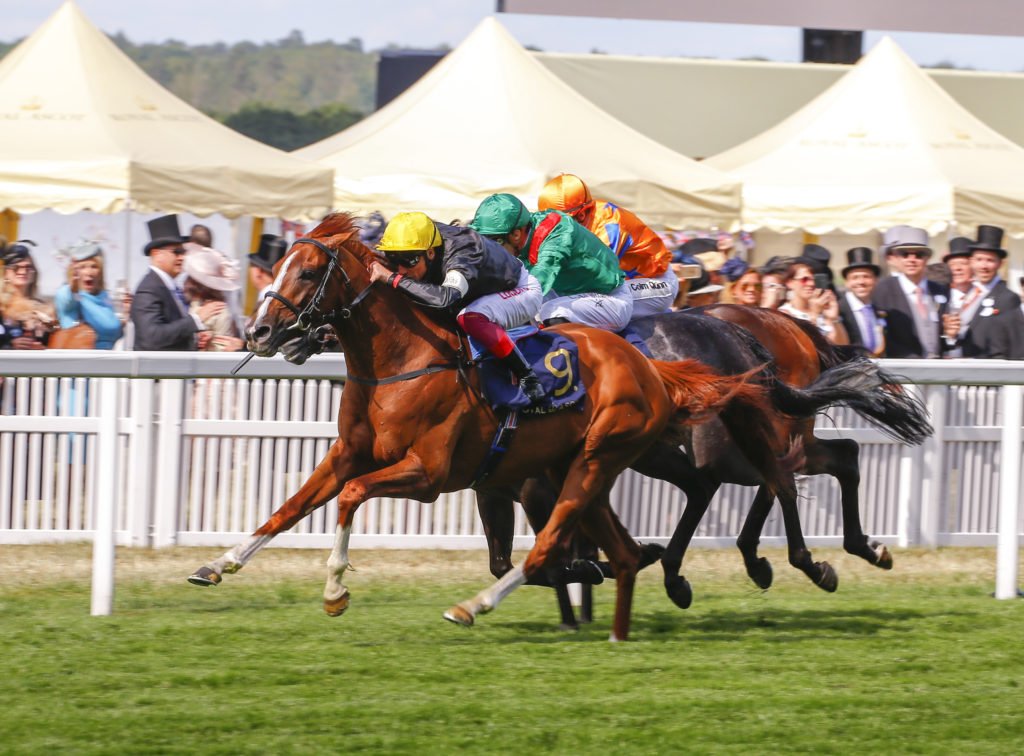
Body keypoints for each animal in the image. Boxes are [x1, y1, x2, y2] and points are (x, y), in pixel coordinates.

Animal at [186, 215, 774, 639]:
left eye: (308, 272)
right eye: (279, 265)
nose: (259, 331)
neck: (402, 361)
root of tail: (649, 367)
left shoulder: (427, 475)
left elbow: (350, 496)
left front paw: (335, 592)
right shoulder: (351, 454)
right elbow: (290, 507)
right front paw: (216, 565)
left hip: (594, 462)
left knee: (562, 541)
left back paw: (476, 606)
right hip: (576, 470)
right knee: (623, 551)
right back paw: (622, 618)